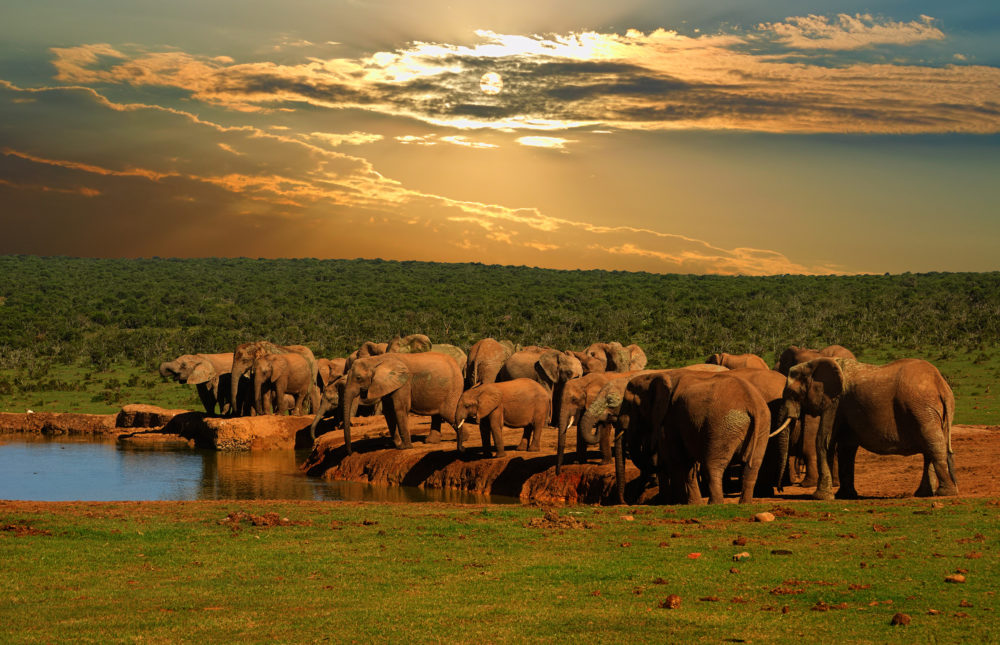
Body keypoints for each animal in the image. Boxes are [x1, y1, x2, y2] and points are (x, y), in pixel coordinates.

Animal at [778, 357, 958, 500]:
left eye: (793, 394)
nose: (780, 490)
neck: (815, 362)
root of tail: (941, 385)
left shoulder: (835, 402)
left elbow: (824, 441)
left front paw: (820, 497)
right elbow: (846, 447)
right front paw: (846, 496)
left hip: (922, 408)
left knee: (934, 445)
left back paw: (945, 493)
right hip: (931, 411)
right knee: (931, 447)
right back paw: (924, 494)